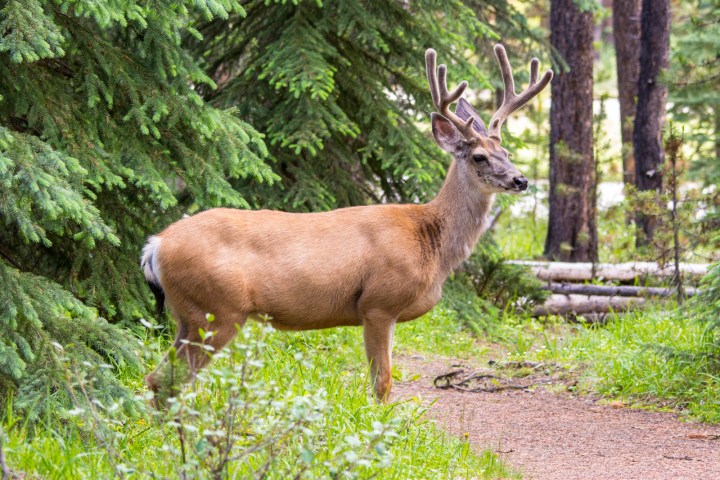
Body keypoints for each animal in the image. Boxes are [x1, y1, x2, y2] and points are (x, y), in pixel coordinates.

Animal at [141, 44, 552, 404]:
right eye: (480, 156)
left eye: (507, 152)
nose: (521, 180)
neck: (430, 242)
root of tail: (155, 246)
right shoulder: (378, 303)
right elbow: (382, 383)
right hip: (217, 309)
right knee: (169, 380)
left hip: (189, 314)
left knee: (160, 379)